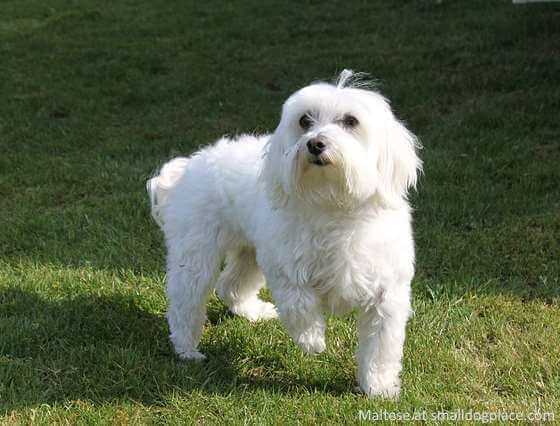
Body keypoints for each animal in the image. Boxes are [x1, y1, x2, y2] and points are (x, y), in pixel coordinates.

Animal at [147, 70, 422, 400]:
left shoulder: (387, 295)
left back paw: (252, 312)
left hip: (249, 252)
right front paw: (313, 340)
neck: (333, 205)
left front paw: (378, 387)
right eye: (305, 120)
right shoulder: (285, 268)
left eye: (351, 121)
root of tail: (188, 166)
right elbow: (298, 305)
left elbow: (381, 348)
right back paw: (187, 349)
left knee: (231, 285)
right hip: (197, 253)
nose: (315, 144)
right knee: (185, 301)